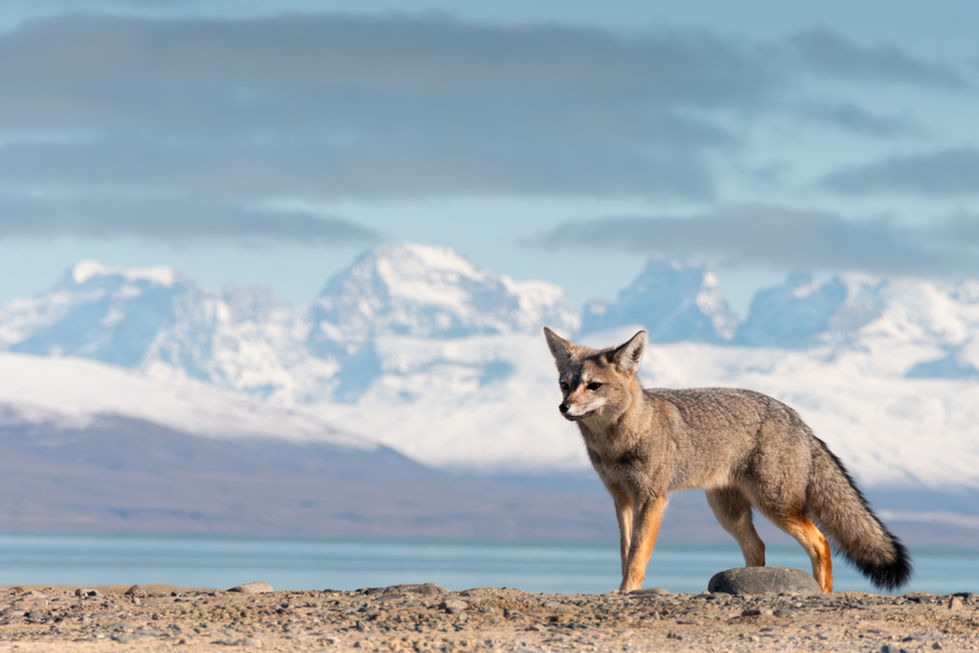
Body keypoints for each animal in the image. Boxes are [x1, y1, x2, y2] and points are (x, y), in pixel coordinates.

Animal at [543, 327, 911, 593]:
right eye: (565, 385)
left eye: (593, 386)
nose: (563, 407)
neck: (617, 442)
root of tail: (798, 419)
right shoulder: (621, 499)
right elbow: (625, 551)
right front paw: (622, 590)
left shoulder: (652, 498)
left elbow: (637, 554)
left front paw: (627, 590)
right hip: (728, 512)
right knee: (758, 548)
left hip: (774, 504)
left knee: (820, 541)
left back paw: (822, 592)